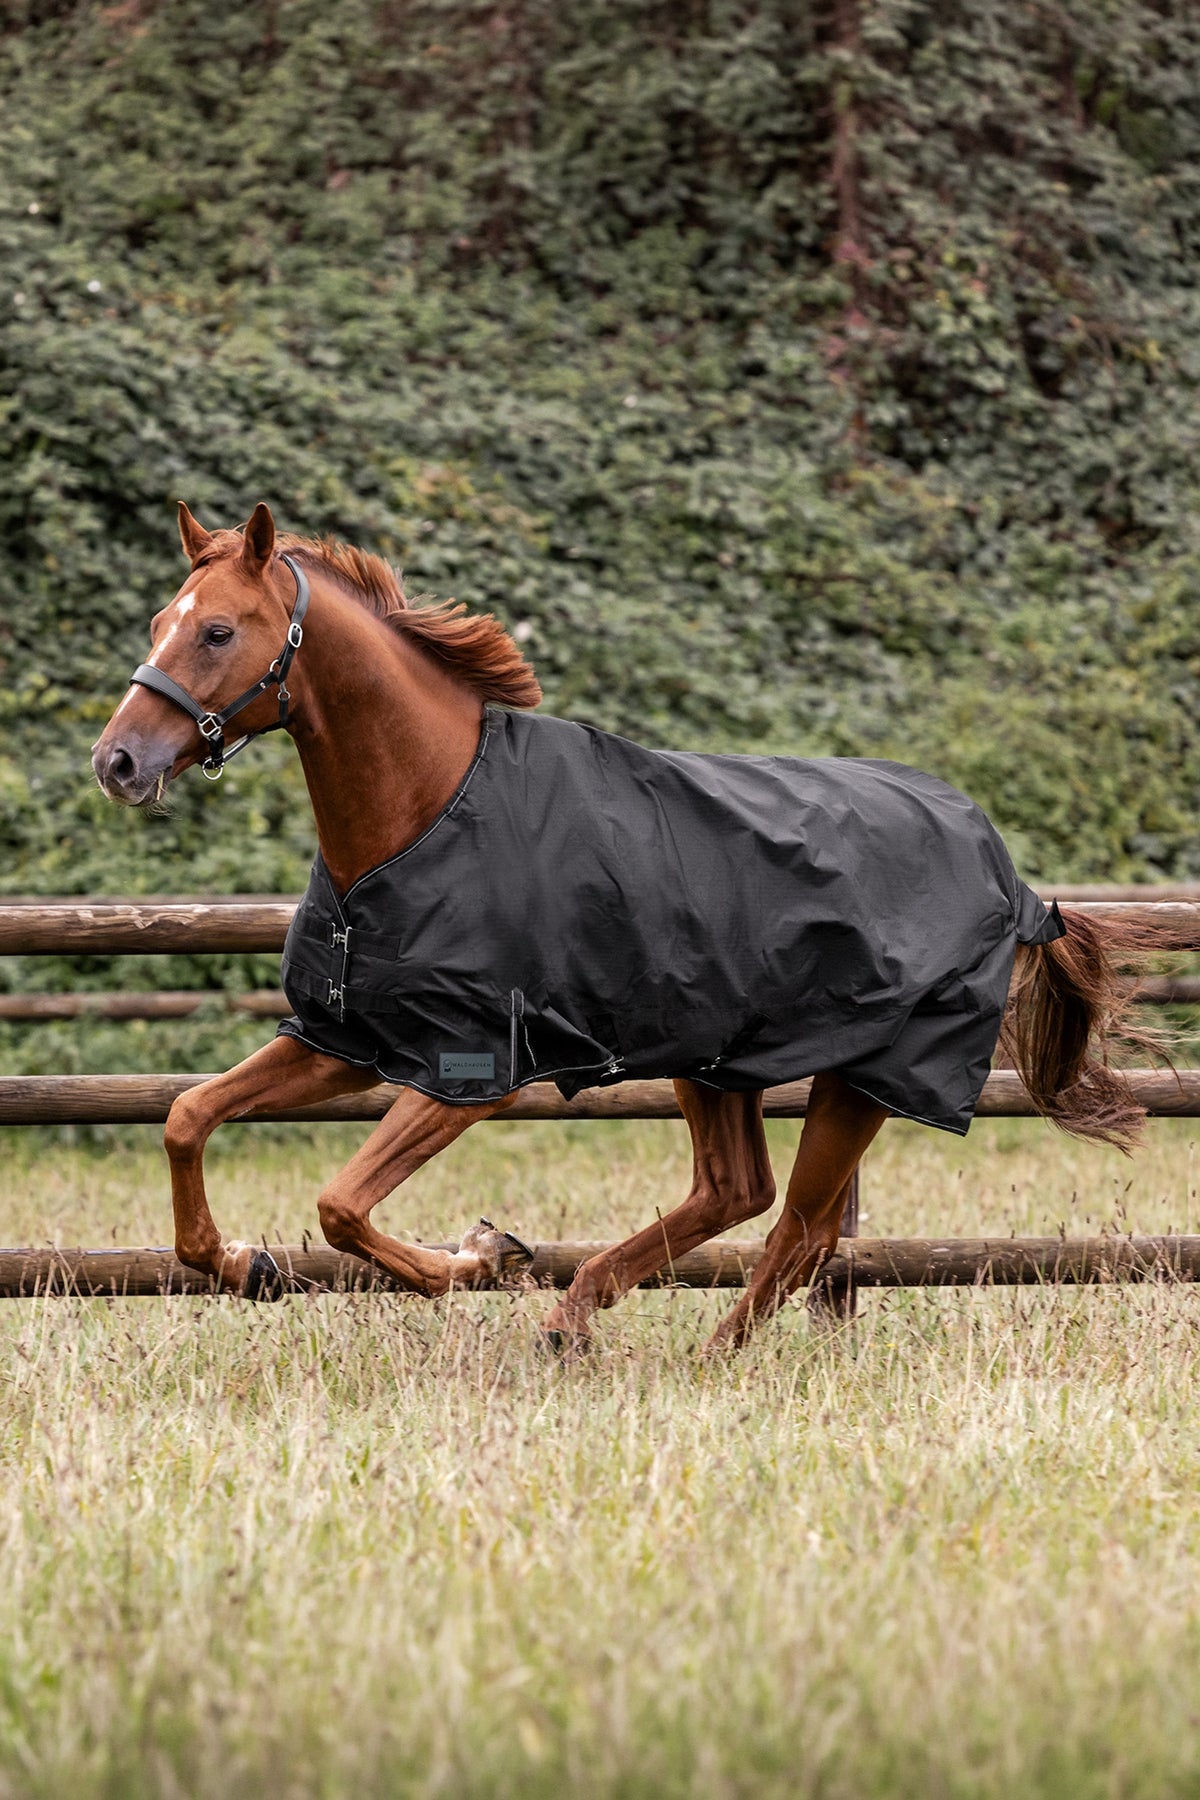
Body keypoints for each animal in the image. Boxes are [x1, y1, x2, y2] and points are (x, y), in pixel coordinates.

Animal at [92, 502, 1158, 1352]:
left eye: (217, 631)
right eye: (157, 622)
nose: (118, 762)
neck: (425, 813)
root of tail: (1007, 870)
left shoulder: (469, 1072)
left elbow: (342, 1203)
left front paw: (478, 1259)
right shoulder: (345, 1040)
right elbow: (188, 1118)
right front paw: (245, 1265)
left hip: (866, 1076)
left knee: (800, 1227)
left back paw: (693, 1356)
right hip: (716, 1059)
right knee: (738, 1193)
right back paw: (583, 1320)